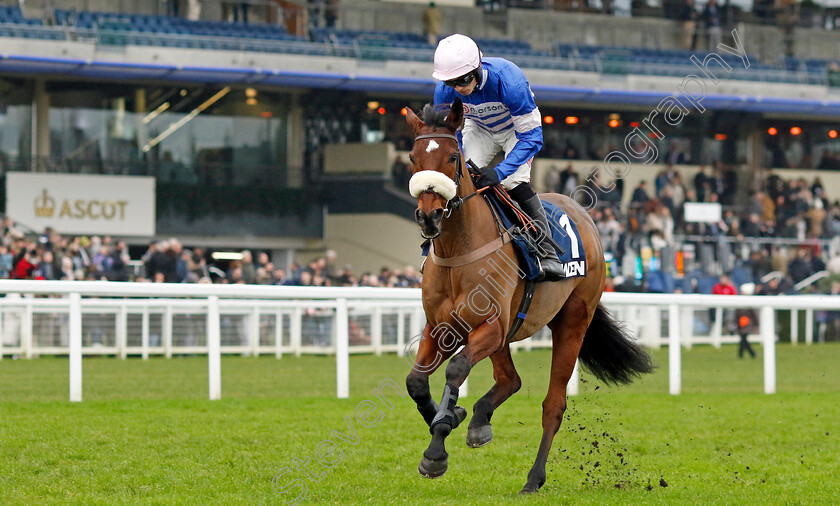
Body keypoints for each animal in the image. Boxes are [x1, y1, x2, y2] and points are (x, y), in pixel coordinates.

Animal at [404, 99, 652, 494]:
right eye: (413, 157)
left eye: (452, 157)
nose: (429, 216)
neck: (460, 251)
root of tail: (584, 216)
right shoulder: (442, 328)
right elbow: (415, 382)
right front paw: (451, 415)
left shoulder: (489, 327)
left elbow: (456, 369)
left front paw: (437, 449)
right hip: (506, 332)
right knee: (511, 379)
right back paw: (479, 420)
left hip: (571, 321)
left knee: (553, 404)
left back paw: (534, 478)